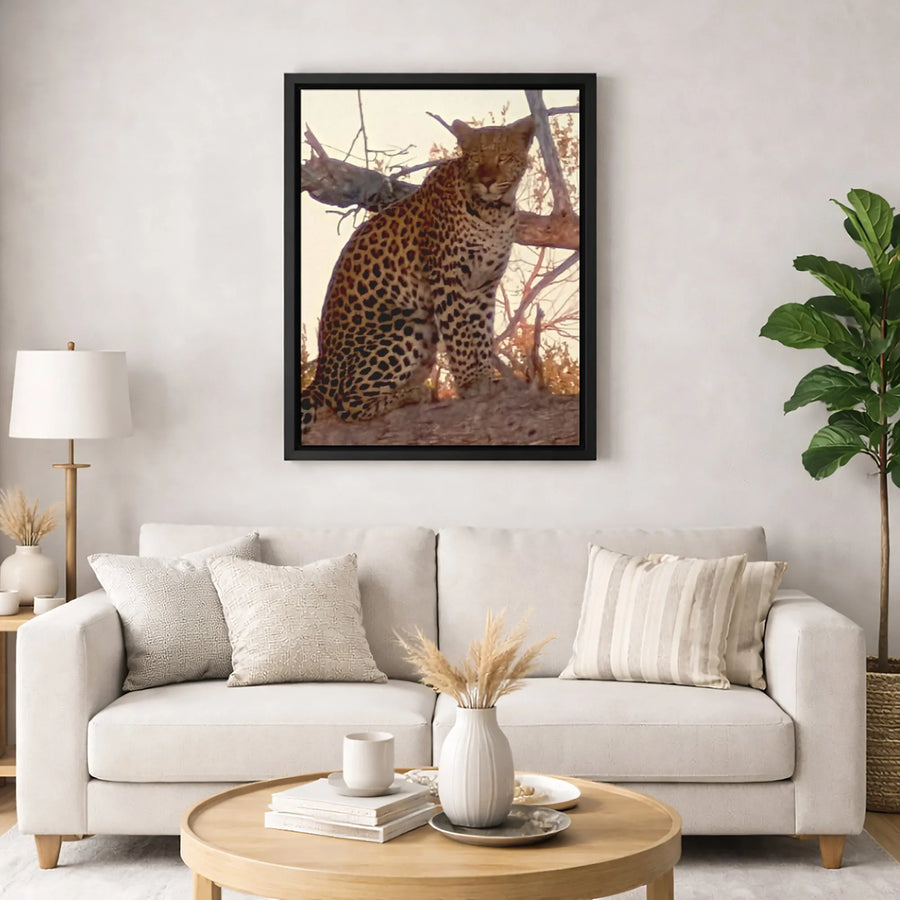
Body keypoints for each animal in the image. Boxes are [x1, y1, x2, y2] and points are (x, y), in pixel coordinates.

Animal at [300, 115, 536, 435]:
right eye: (475, 158)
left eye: (503, 157)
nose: (486, 181)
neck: (494, 213)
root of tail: (320, 377)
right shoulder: (448, 279)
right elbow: (461, 335)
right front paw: (470, 384)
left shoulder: (484, 285)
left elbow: (481, 334)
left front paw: (484, 377)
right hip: (407, 324)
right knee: (347, 404)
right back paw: (413, 394)